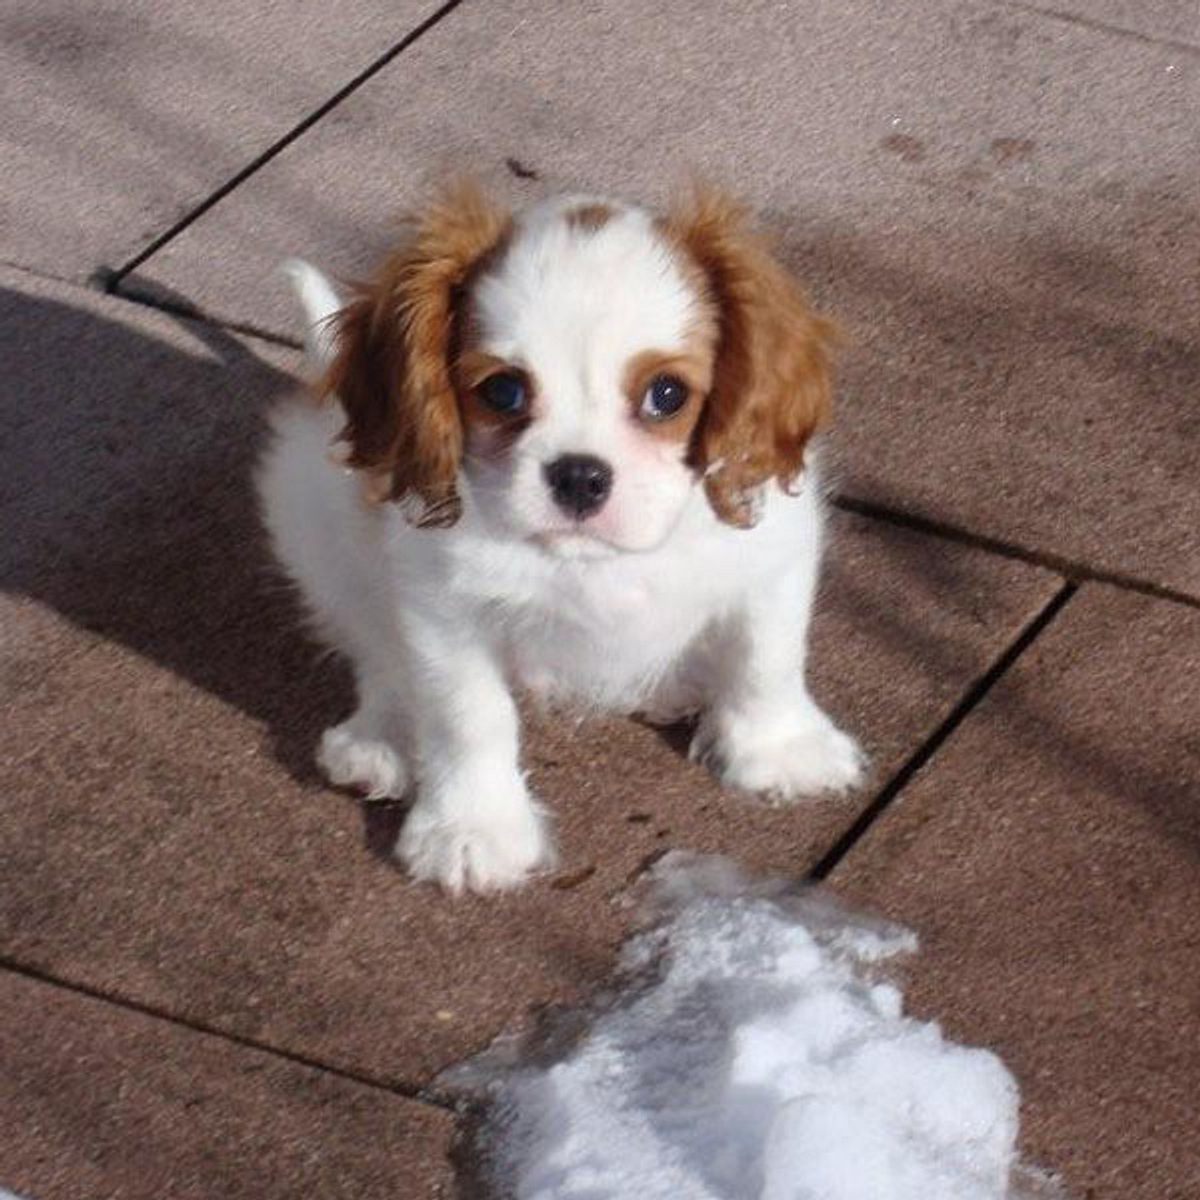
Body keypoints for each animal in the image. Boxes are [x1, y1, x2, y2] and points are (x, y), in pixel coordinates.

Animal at [260, 180, 864, 892]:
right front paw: (472, 830)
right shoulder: (441, 611)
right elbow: (467, 714)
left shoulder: (773, 558)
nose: (579, 475)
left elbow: (767, 657)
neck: (593, 562)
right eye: (503, 391)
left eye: (666, 394)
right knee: (376, 648)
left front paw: (783, 751)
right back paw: (381, 738)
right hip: (316, 525)